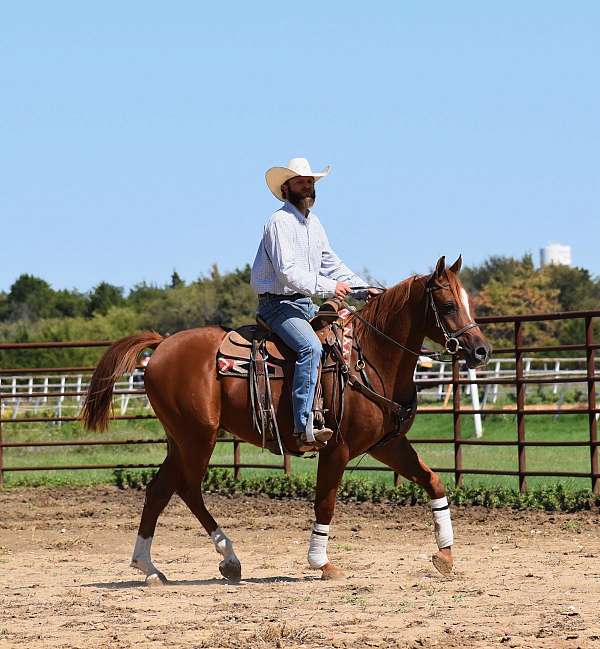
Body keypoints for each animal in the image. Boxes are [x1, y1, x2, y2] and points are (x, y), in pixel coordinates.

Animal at [81, 256, 492, 584]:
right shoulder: (337, 448)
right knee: (187, 488)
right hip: (197, 437)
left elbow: (433, 482)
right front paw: (321, 563)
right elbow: (325, 503)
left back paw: (151, 567)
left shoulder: (387, 445)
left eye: (469, 302)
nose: (481, 350)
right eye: (448, 304)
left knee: (160, 490)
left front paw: (445, 554)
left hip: (180, 439)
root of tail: (162, 345)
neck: (369, 358)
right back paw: (224, 558)